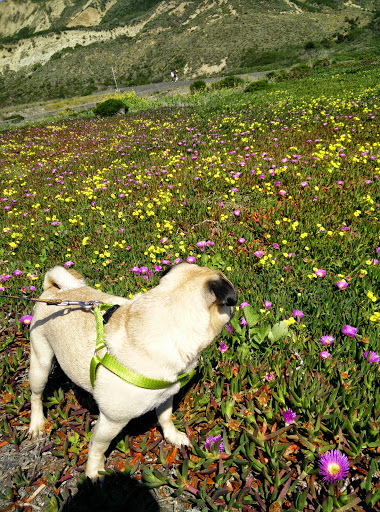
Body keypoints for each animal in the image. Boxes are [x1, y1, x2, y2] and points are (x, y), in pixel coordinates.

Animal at [29, 264, 236, 480]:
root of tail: (54, 291)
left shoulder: (165, 396)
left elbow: (165, 418)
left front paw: (173, 436)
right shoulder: (111, 421)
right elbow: (97, 447)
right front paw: (94, 471)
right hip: (40, 363)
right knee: (36, 395)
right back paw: (36, 423)